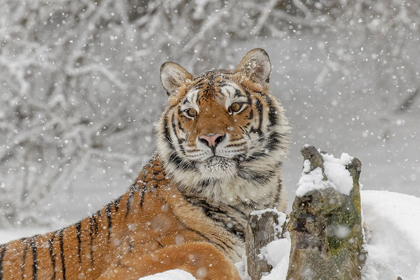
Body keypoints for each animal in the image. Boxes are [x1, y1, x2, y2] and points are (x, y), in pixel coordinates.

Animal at [0, 49, 288, 278]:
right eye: (191, 112)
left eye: (235, 107)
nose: (210, 138)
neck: (243, 193)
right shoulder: (121, 267)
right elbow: (199, 250)